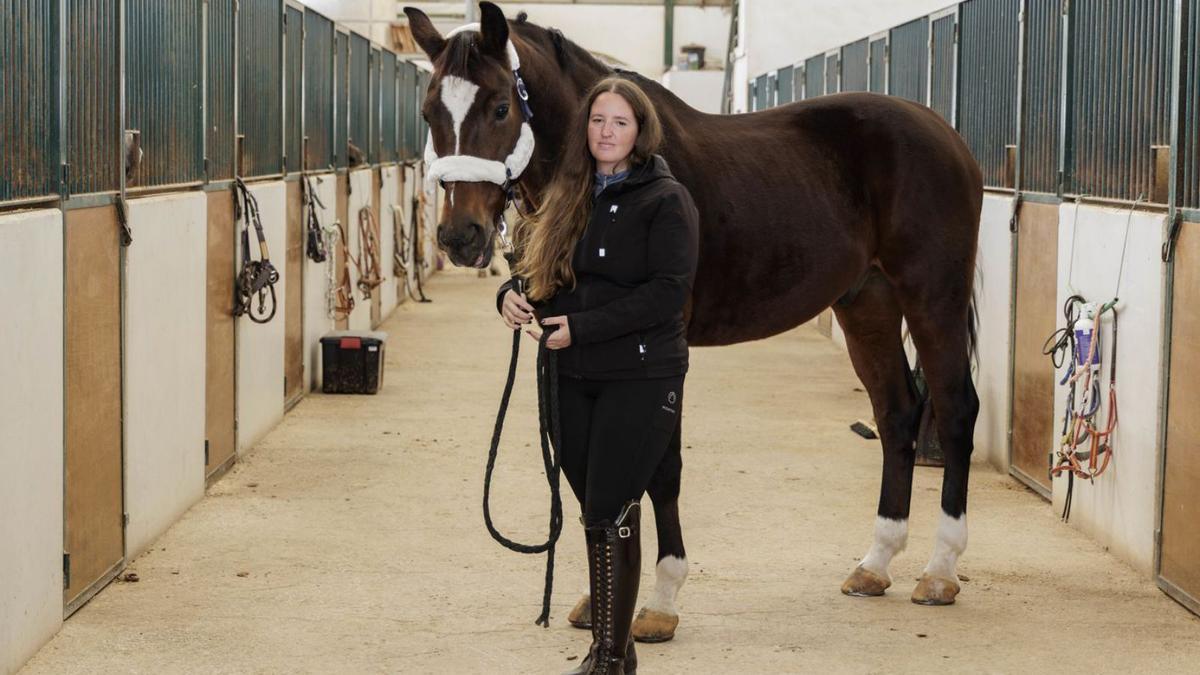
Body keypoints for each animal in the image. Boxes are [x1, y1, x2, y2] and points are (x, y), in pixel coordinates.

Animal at [408, 0, 979, 638]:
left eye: (501, 106)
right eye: (430, 111)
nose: (460, 236)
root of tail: (945, 133)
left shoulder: (663, 348)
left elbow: (659, 468)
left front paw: (660, 601)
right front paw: (600, 599)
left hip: (933, 297)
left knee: (955, 410)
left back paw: (940, 572)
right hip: (868, 303)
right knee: (897, 412)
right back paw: (876, 564)